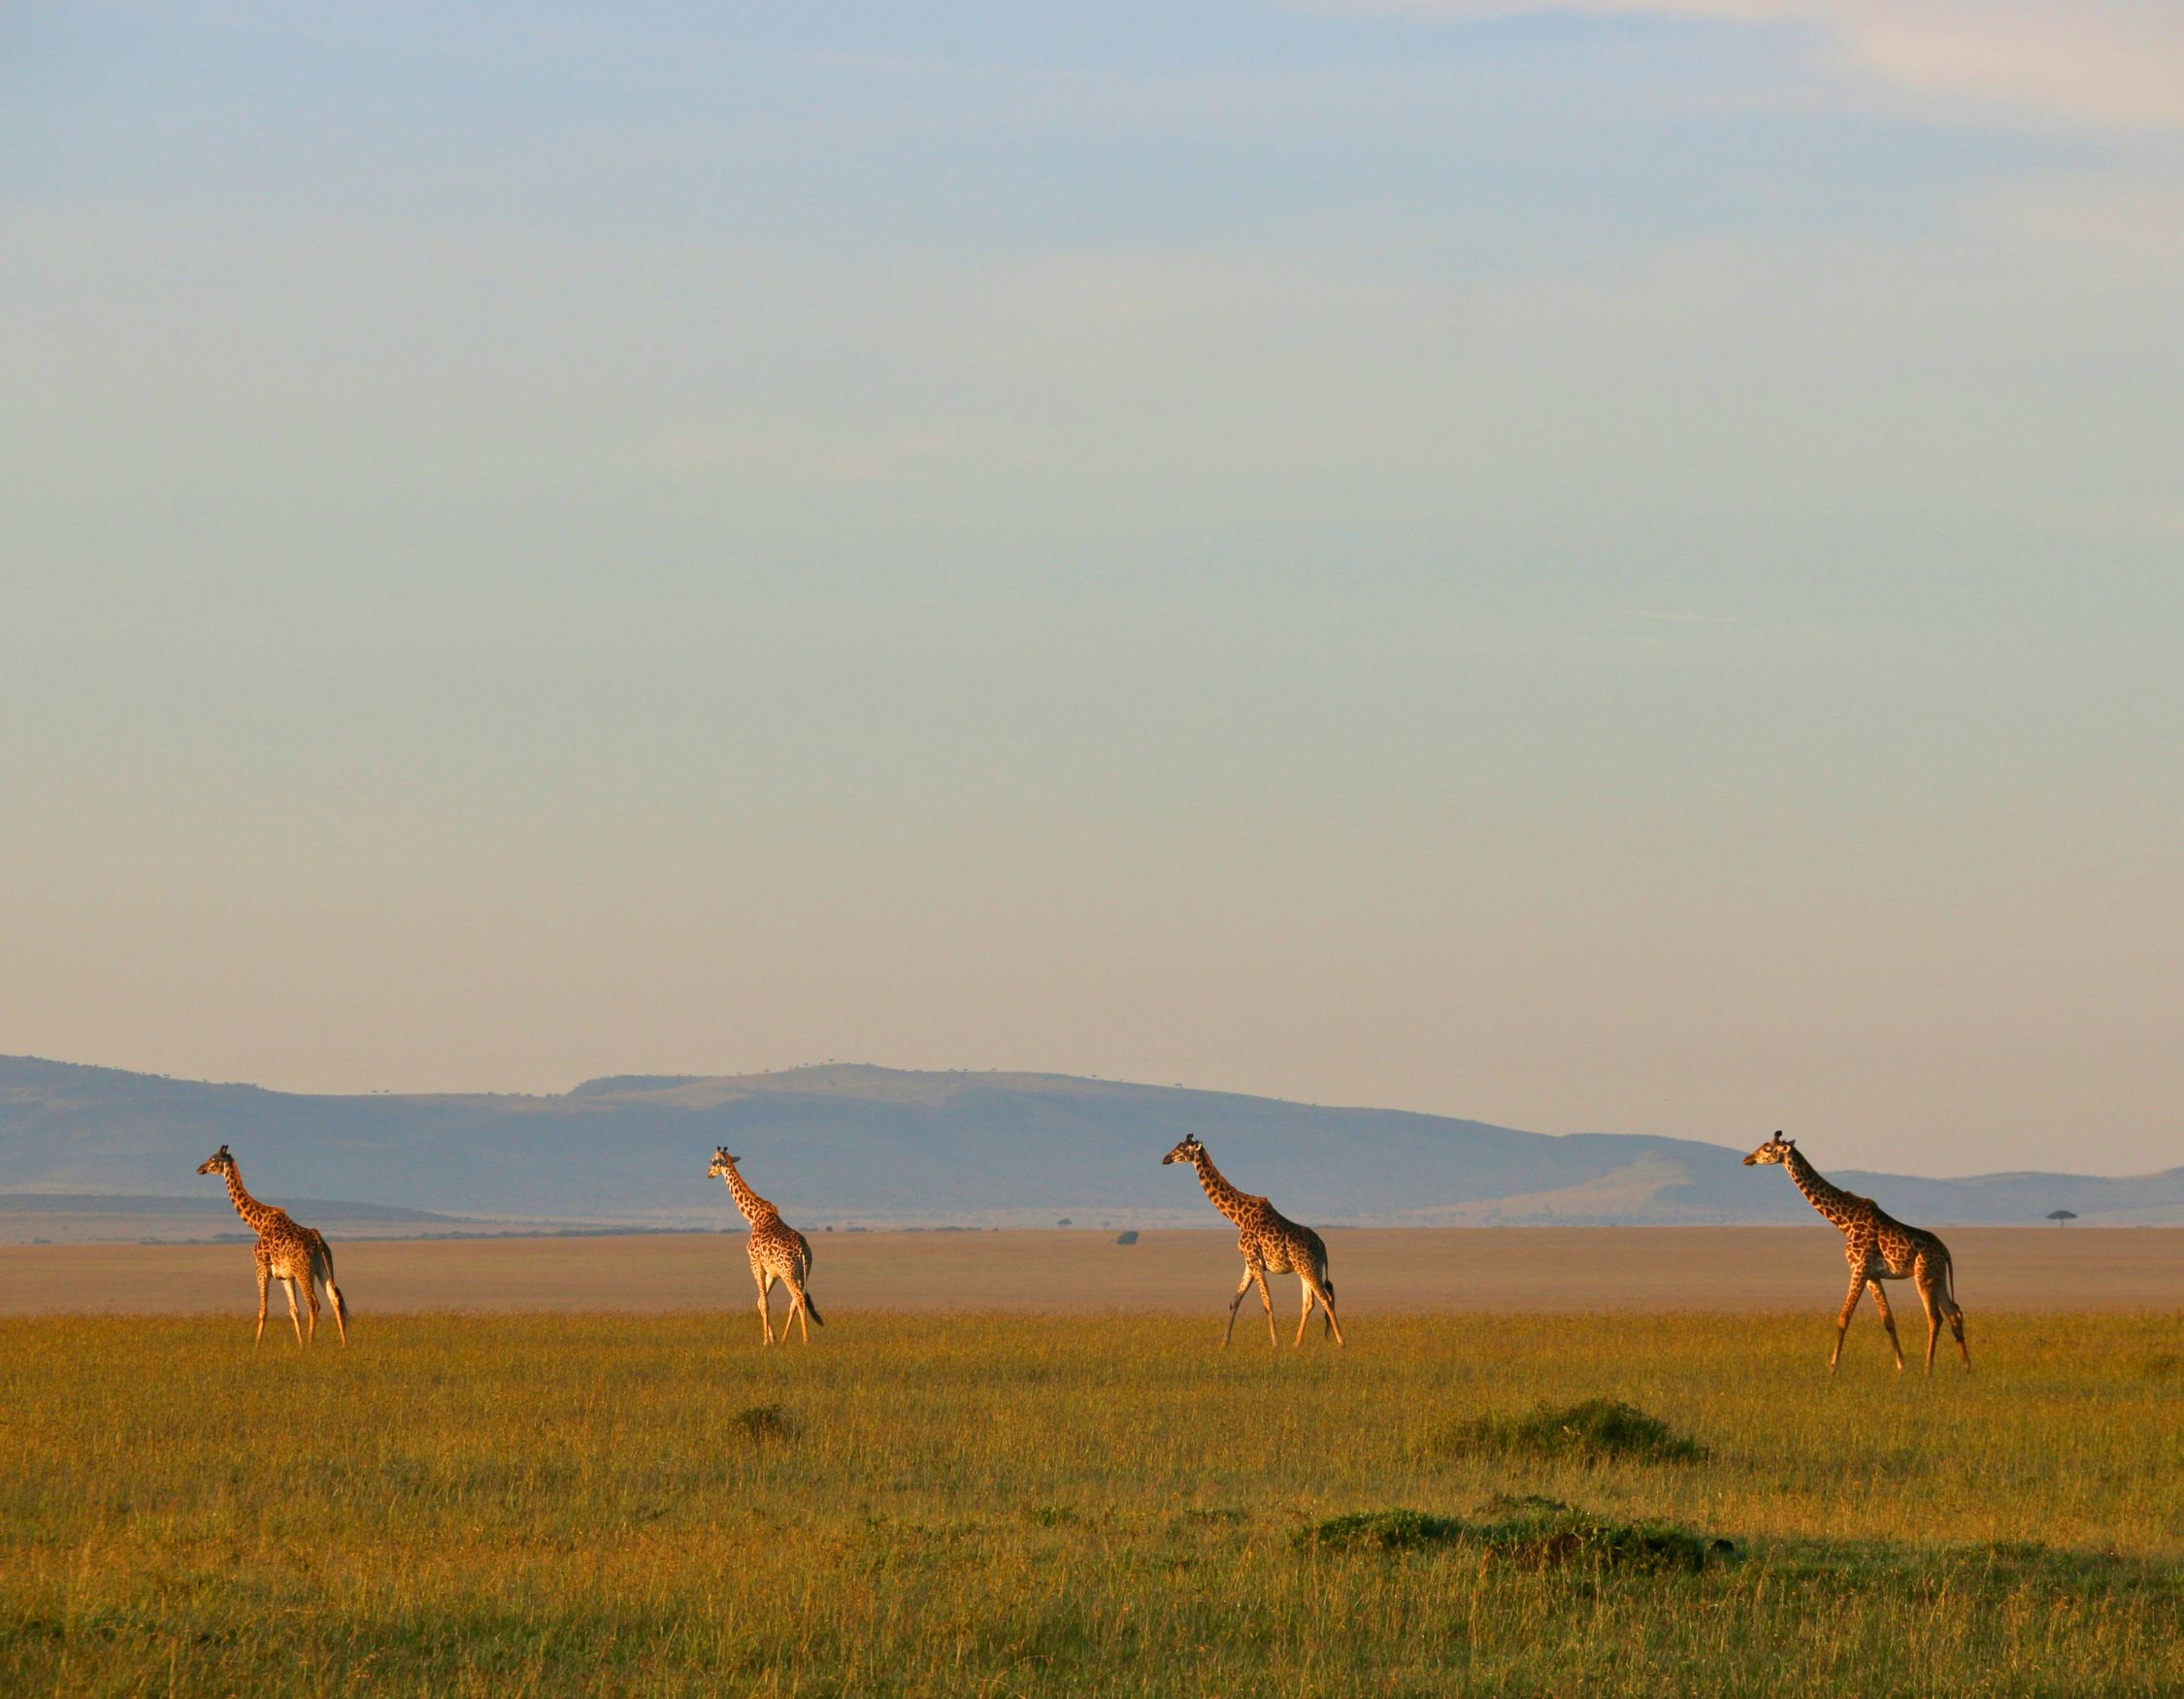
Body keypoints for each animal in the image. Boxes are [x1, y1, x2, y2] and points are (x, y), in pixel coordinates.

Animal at [194, 1144, 349, 1346]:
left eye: (213, 1159)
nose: (199, 1169)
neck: (258, 1224)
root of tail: (318, 1242)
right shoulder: (285, 1276)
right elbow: (293, 1310)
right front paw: (299, 1345)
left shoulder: (261, 1267)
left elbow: (263, 1310)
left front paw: (257, 1344)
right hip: (322, 1268)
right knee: (335, 1298)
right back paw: (344, 1343)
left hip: (303, 1270)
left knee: (314, 1303)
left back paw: (311, 1342)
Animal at [708, 1147, 823, 1345]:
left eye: (713, 1161)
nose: (708, 1174)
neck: (754, 1217)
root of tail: (802, 1250)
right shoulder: (771, 1271)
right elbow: (760, 1302)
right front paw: (774, 1338)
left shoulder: (755, 1263)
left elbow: (764, 1302)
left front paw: (766, 1341)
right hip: (803, 1273)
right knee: (794, 1300)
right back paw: (784, 1339)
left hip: (788, 1272)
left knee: (798, 1298)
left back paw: (805, 1340)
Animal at [1161, 1134, 1344, 1347]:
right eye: (1177, 1145)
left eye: (1182, 1149)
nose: (1165, 1159)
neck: (1238, 1217)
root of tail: (1323, 1247)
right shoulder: (1249, 1262)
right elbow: (1235, 1300)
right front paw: (1224, 1344)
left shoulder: (1254, 1259)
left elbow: (1267, 1302)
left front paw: (1275, 1344)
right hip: (1304, 1269)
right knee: (1309, 1302)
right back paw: (1296, 1344)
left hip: (1309, 1268)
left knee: (1326, 1298)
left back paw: (1341, 1342)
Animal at [1743, 1132, 1967, 1375]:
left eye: (1767, 1148)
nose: (1747, 1159)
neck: (1844, 1221)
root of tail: (1945, 1251)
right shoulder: (1872, 1275)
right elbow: (1888, 1320)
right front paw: (1901, 1366)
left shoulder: (1858, 1268)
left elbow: (1844, 1317)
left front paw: (1832, 1367)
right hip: (1938, 1277)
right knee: (1954, 1312)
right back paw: (1967, 1366)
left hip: (1923, 1274)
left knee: (1935, 1317)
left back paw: (1928, 1369)